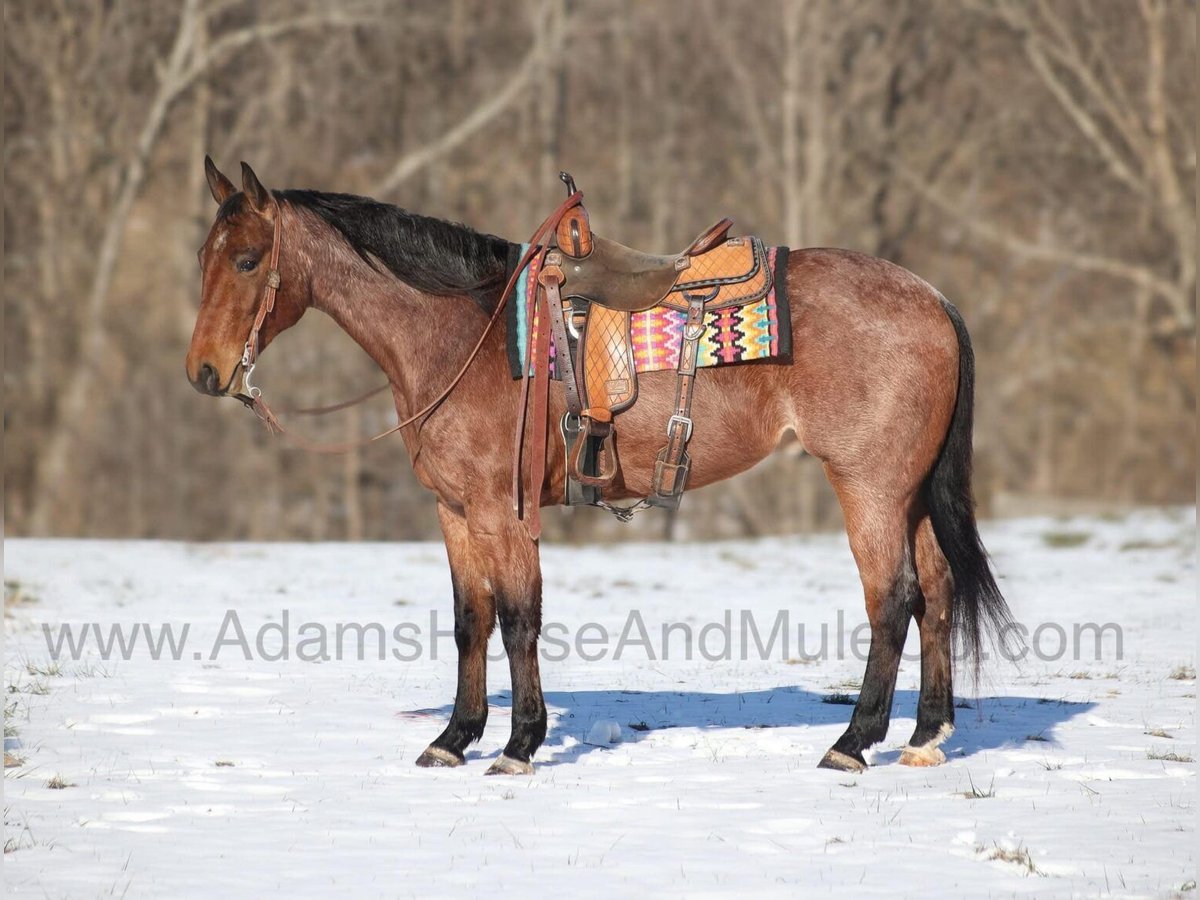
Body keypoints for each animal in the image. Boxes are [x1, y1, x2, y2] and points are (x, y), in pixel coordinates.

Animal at [184, 158, 1012, 777]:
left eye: (249, 260)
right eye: (204, 259)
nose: (205, 372)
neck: (462, 336)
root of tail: (933, 298)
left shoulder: (503, 511)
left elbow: (518, 620)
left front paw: (519, 744)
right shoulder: (455, 512)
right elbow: (469, 620)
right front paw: (453, 738)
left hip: (869, 488)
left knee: (893, 601)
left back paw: (853, 742)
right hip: (909, 493)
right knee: (938, 595)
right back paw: (925, 737)